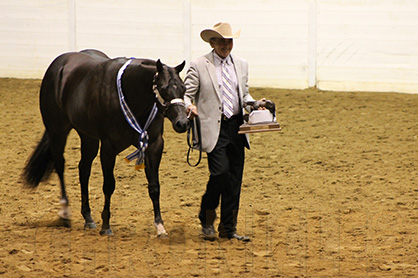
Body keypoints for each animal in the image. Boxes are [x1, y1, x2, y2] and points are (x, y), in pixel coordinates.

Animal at [21, 48, 188, 236]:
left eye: (183, 87)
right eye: (163, 88)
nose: (182, 123)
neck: (129, 93)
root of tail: (59, 64)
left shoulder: (153, 145)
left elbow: (154, 186)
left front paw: (160, 227)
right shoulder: (108, 147)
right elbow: (109, 185)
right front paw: (106, 226)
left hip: (88, 137)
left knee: (83, 169)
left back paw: (88, 218)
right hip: (58, 132)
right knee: (60, 165)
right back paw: (65, 213)